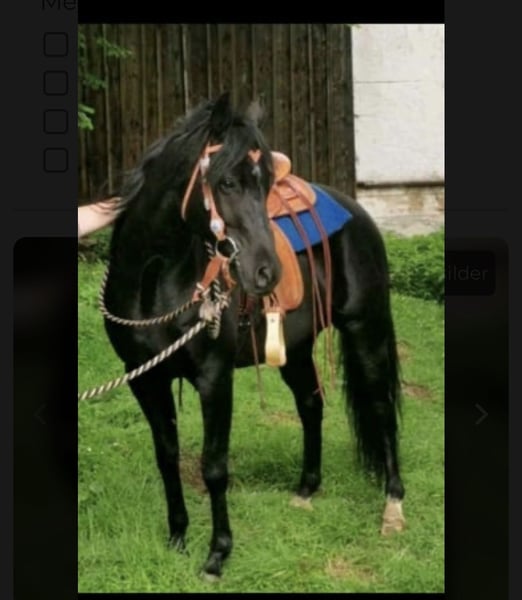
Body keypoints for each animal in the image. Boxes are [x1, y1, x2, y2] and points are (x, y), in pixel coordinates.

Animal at [102, 93, 405, 580]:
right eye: (226, 182)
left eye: (265, 186)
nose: (267, 273)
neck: (156, 280)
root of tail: (357, 212)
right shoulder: (143, 378)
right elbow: (167, 456)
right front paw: (177, 537)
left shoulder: (214, 378)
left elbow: (213, 466)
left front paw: (217, 554)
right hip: (295, 350)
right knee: (311, 405)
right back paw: (306, 489)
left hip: (366, 329)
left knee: (380, 407)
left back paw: (393, 506)